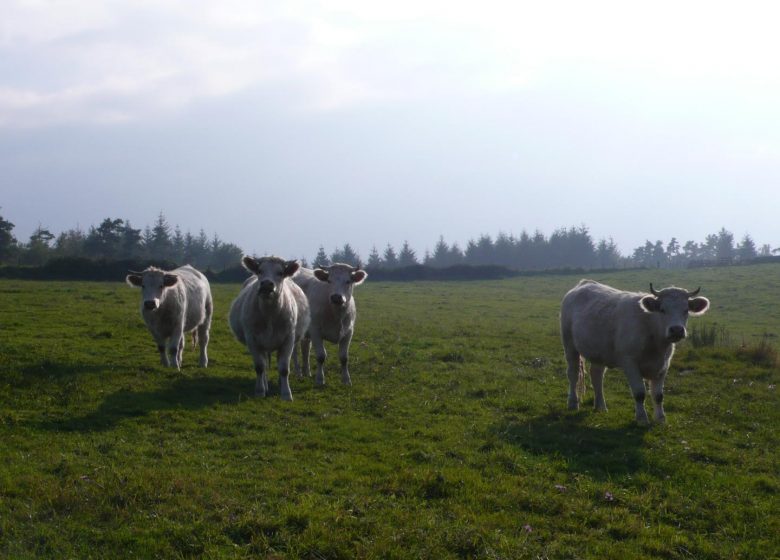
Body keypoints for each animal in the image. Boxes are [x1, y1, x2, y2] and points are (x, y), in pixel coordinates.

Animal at [227, 256, 310, 400]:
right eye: (260, 270)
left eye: (280, 273)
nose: (266, 284)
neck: (269, 313)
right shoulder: (252, 339)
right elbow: (260, 367)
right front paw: (260, 391)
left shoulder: (288, 339)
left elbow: (284, 368)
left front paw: (286, 393)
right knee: (264, 365)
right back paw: (265, 385)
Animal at [556, 280, 708, 424]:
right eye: (662, 309)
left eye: (686, 310)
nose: (676, 330)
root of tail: (583, 284)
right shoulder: (629, 362)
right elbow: (639, 393)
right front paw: (642, 419)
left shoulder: (664, 365)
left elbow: (658, 395)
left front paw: (660, 419)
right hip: (569, 345)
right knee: (573, 374)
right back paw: (573, 403)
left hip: (599, 353)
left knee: (596, 375)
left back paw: (600, 406)